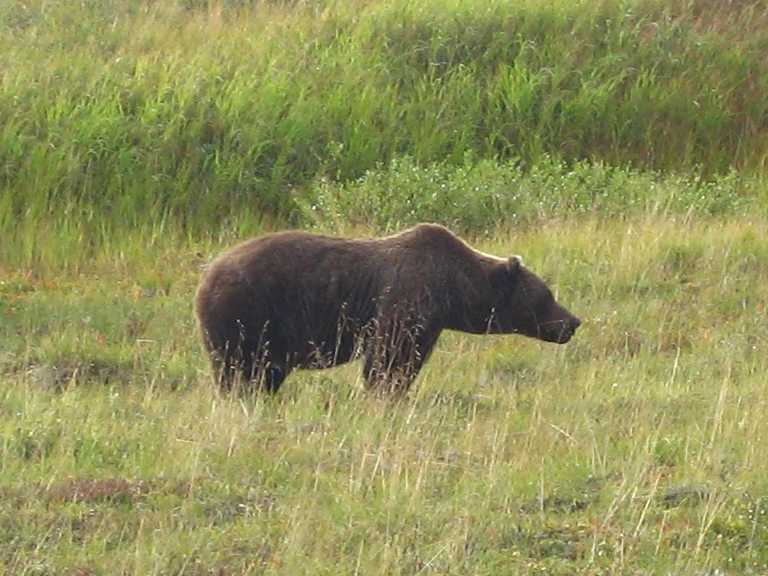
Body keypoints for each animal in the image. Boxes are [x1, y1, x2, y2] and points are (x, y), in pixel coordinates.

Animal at [194, 223, 581, 394]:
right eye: (546, 295)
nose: (573, 321)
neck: (455, 289)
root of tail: (206, 273)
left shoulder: (430, 321)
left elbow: (409, 359)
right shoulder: (407, 298)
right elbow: (389, 355)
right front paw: (384, 391)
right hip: (244, 315)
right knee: (236, 370)